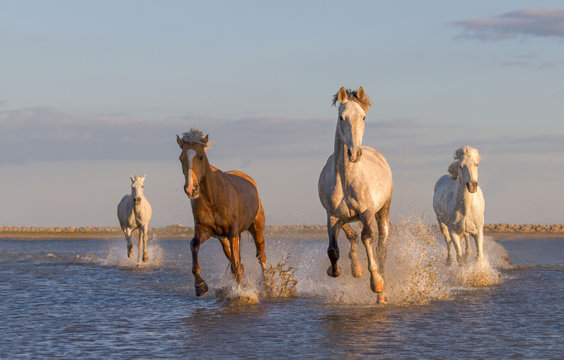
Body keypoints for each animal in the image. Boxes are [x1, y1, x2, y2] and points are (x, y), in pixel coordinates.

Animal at [176, 129, 266, 296]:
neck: (212, 196)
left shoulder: (232, 231)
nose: (191, 189)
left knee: (260, 256)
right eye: (181, 158)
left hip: (256, 228)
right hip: (224, 240)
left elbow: (236, 266)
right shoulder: (205, 230)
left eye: (201, 156)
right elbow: (194, 245)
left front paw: (241, 294)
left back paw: (268, 285)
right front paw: (200, 286)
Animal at [320, 86, 394, 304]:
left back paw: (382, 295)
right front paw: (335, 270)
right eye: (341, 117)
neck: (346, 180)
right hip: (344, 216)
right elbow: (333, 250)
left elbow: (367, 238)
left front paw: (376, 283)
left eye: (363, 117)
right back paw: (356, 268)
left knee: (381, 248)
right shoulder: (331, 215)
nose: (354, 153)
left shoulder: (367, 212)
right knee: (350, 234)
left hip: (383, 211)